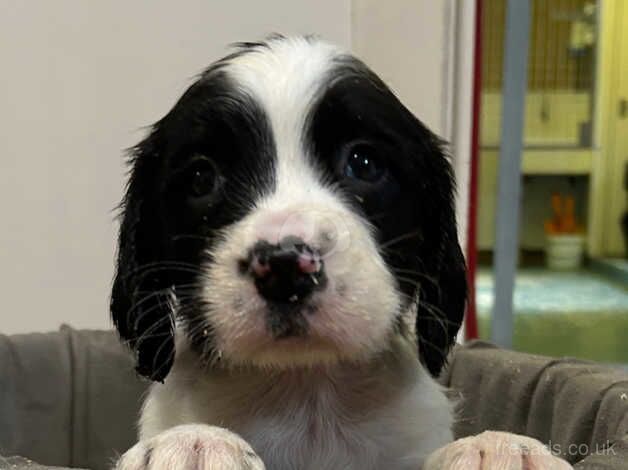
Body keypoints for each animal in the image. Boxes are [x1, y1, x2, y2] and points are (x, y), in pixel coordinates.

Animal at [110, 36, 572, 470]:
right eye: (202, 178)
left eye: (364, 163)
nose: (285, 268)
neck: (306, 390)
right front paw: (191, 442)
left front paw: (495, 446)